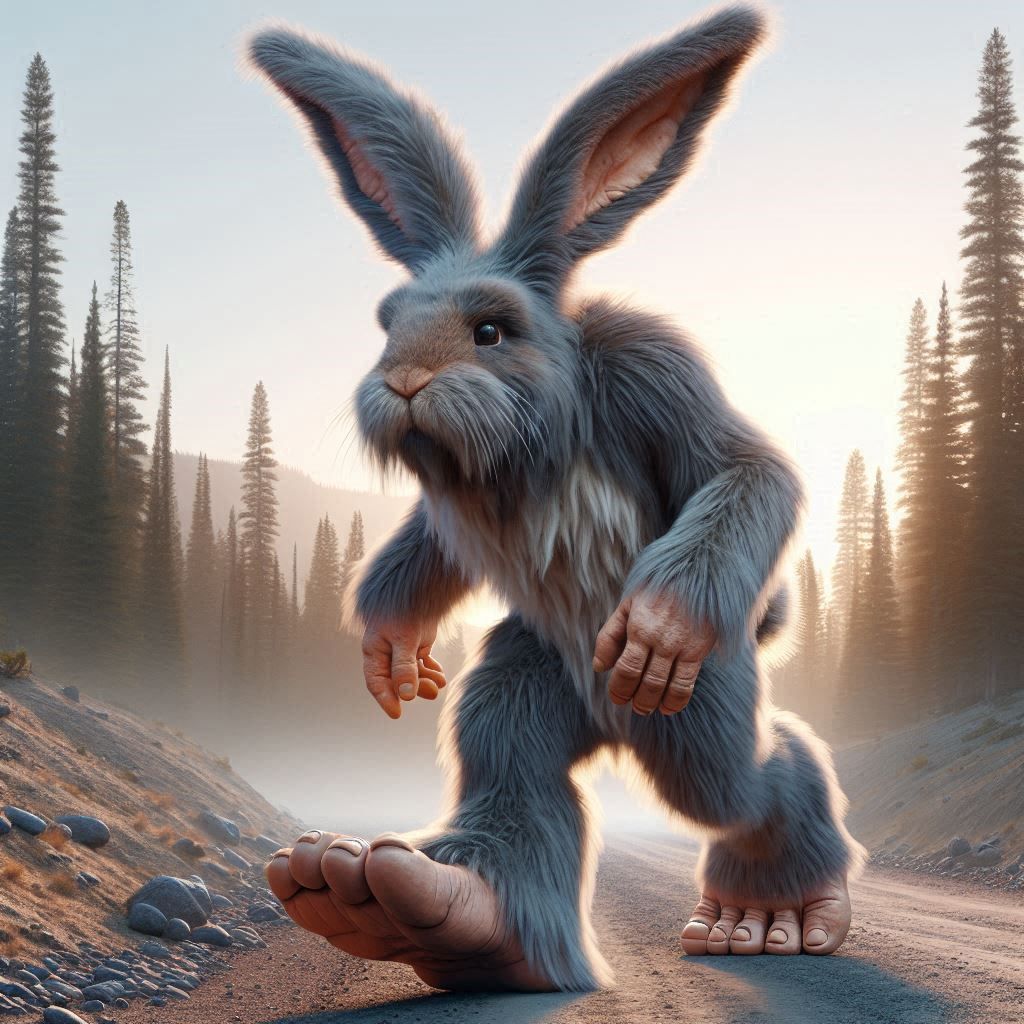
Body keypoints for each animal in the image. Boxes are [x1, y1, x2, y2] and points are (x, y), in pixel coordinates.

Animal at [249, 3, 865, 993]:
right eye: (388, 323)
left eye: (490, 329)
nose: (404, 382)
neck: (533, 444)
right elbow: (425, 552)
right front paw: (391, 654)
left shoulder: (657, 370)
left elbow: (747, 471)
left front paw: (658, 625)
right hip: (527, 671)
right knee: (511, 764)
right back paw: (413, 903)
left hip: (704, 706)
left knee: (753, 781)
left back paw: (770, 916)